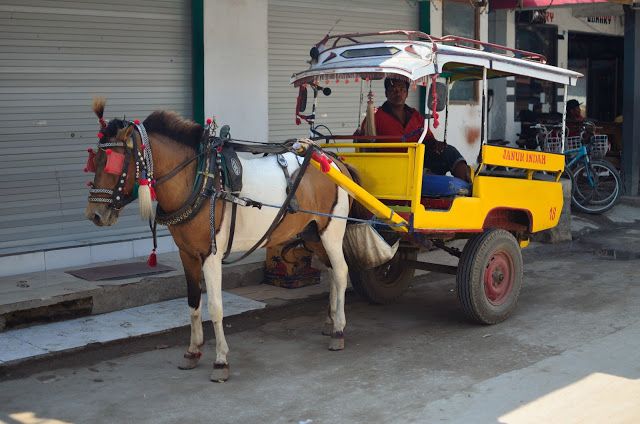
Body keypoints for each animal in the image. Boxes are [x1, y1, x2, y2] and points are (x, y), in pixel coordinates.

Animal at [82, 98, 358, 380]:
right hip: (312, 234)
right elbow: (193, 302)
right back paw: (330, 319)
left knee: (341, 272)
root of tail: (334, 161)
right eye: (96, 159)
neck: (199, 181)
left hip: (331, 232)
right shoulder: (187, 254)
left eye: (114, 162)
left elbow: (215, 307)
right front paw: (193, 351)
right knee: (331, 271)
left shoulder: (210, 255)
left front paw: (221, 360)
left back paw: (338, 330)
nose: (95, 214)